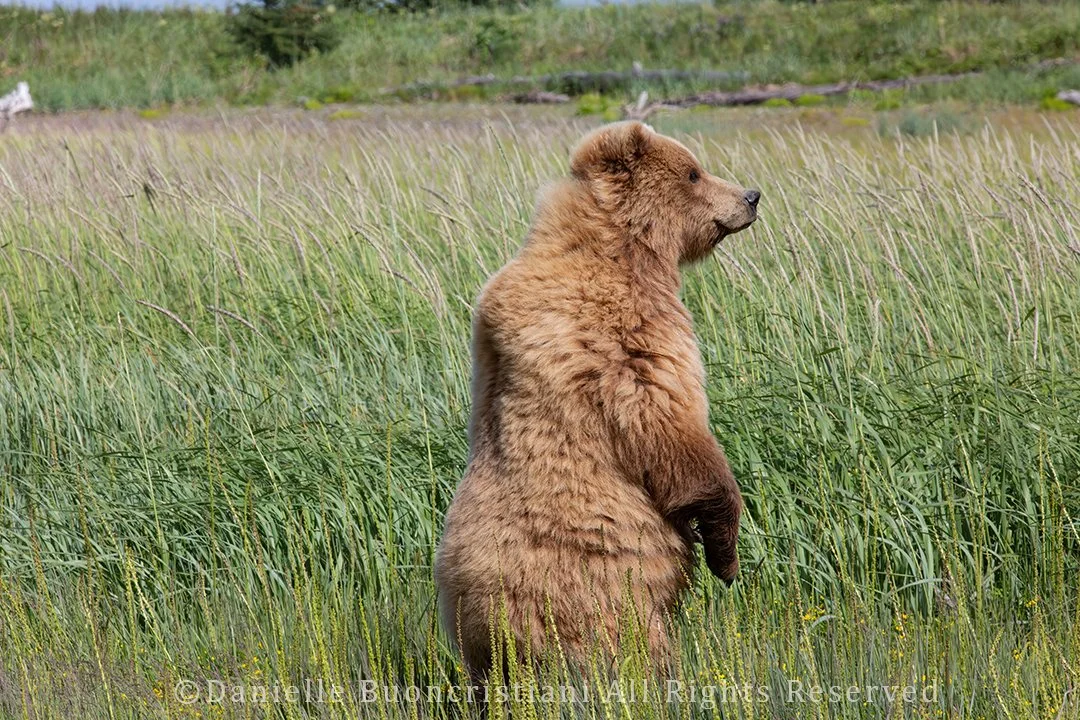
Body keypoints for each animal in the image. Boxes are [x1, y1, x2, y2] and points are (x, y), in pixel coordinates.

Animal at [434, 121, 759, 680]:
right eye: (694, 172)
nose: (751, 196)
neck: (623, 245)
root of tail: (497, 626)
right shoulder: (635, 329)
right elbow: (672, 425)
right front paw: (725, 553)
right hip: (603, 594)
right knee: (635, 647)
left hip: (482, 640)